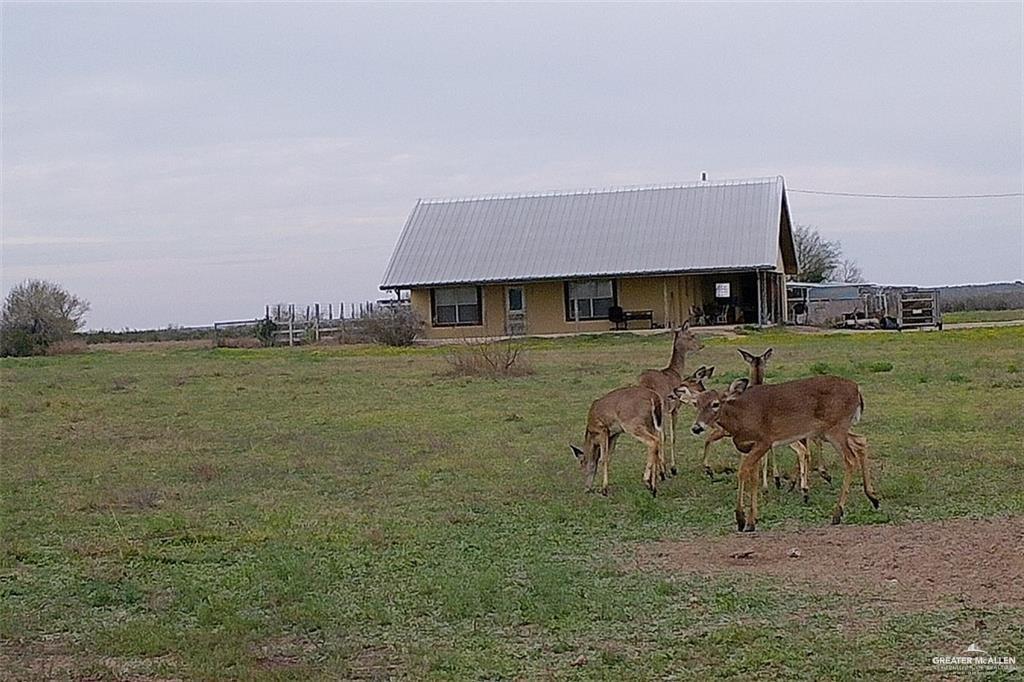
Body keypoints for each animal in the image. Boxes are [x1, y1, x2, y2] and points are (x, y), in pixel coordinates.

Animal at [573, 366, 716, 493]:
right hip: (650, 424)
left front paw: (604, 489)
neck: (591, 431)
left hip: (634, 425)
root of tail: (654, 398)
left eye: (581, 462)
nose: (586, 488)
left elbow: (602, 459)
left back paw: (648, 481)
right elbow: (608, 457)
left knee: (653, 441)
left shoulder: (603, 429)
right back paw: (654, 484)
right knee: (657, 441)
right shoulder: (614, 434)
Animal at [634, 321, 708, 475]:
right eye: (692, 335)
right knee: (660, 436)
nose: (701, 345)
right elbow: (672, 436)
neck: (675, 372)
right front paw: (673, 467)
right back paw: (663, 470)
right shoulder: (674, 409)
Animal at [675, 376, 884, 532]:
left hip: (835, 427)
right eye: (696, 403)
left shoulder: (764, 441)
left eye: (716, 404)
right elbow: (752, 477)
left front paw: (741, 519)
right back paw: (873, 498)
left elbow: (742, 472)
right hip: (831, 430)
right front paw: (752, 520)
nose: (696, 427)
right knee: (861, 442)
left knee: (850, 459)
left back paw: (837, 513)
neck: (740, 418)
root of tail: (857, 390)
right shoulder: (752, 446)